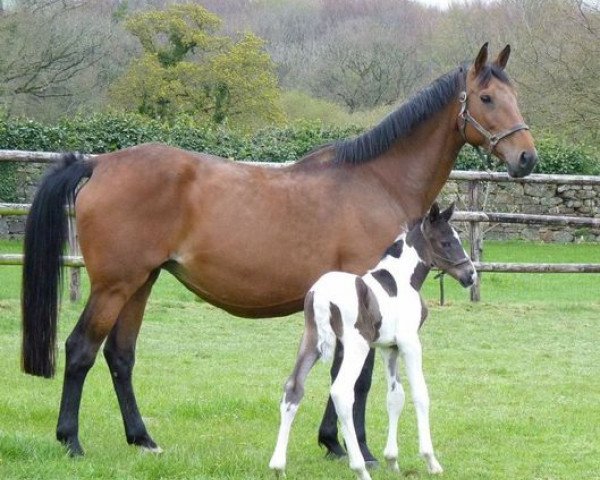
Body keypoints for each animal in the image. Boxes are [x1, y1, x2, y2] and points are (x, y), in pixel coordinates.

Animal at [270, 203, 476, 480]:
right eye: (446, 242)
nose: (470, 275)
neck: (401, 280)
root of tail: (322, 294)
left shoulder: (390, 347)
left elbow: (395, 396)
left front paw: (392, 461)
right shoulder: (410, 343)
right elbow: (420, 394)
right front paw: (431, 461)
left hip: (311, 342)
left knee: (293, 388)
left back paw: (278, 466)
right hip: (355, 346)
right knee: (341, 391)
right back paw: (360, 467)